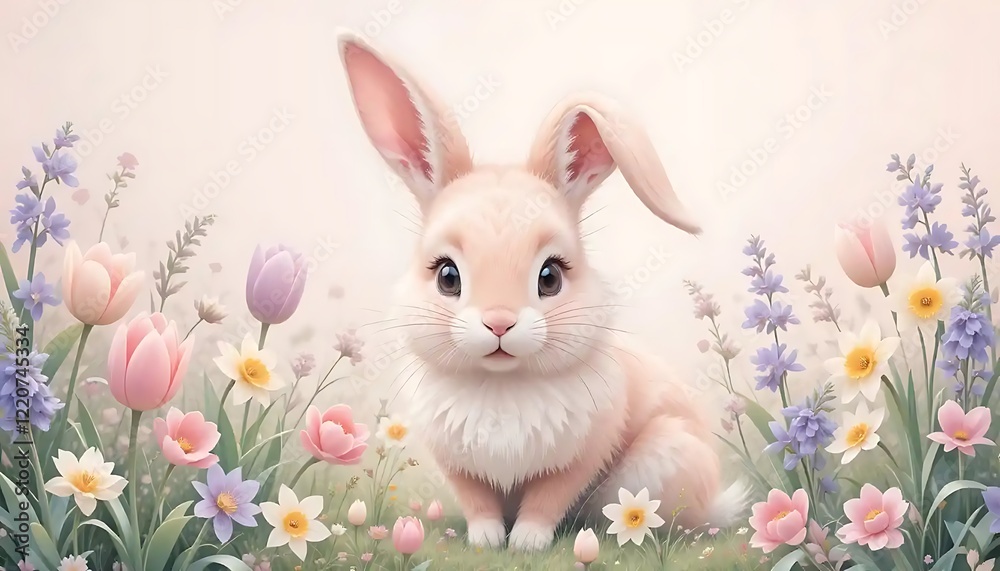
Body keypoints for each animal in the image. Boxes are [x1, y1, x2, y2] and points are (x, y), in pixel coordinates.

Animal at [336, 29, 747, 551]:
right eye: (447, 276)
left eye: (550, 276)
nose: (499, 323)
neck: (501, 383)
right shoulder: (458, 468)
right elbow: (478, 503)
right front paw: (487, 541)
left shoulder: (582, 455)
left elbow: (547, 500)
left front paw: (527, 543)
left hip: (659, 459)